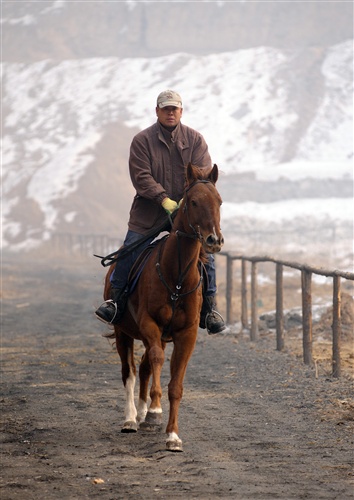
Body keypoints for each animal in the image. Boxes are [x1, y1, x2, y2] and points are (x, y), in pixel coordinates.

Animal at [103, 162, 224, 452]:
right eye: (193, 201)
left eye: (219, 201)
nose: (214, 240)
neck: (176, 278)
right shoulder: (150, 324)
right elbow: (156, 361)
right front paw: (155, 412)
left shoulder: (186, 334)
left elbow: (175, 386)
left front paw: (172, 435)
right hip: (124, 333)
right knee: (130, 372)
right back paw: (131, 418)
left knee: (144, 367)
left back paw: (142, 413)